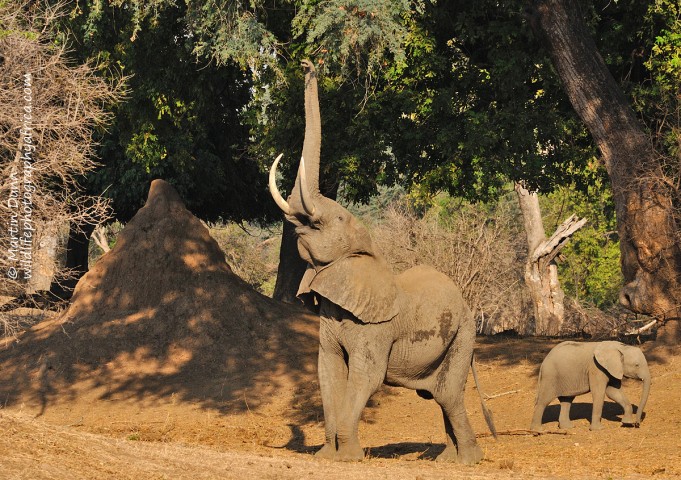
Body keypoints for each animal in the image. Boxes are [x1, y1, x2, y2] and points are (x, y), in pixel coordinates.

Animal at [266, 58, 494, 464]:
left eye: (337, 219)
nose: (310, 64)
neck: (364, 256)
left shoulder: (377, 329)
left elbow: (364, 377)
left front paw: (349, 457)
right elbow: (328, 372)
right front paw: (326, 456)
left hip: (464, 334)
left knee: (449, 396)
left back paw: (467, 461)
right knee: (438, 398)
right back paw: (445, 460)